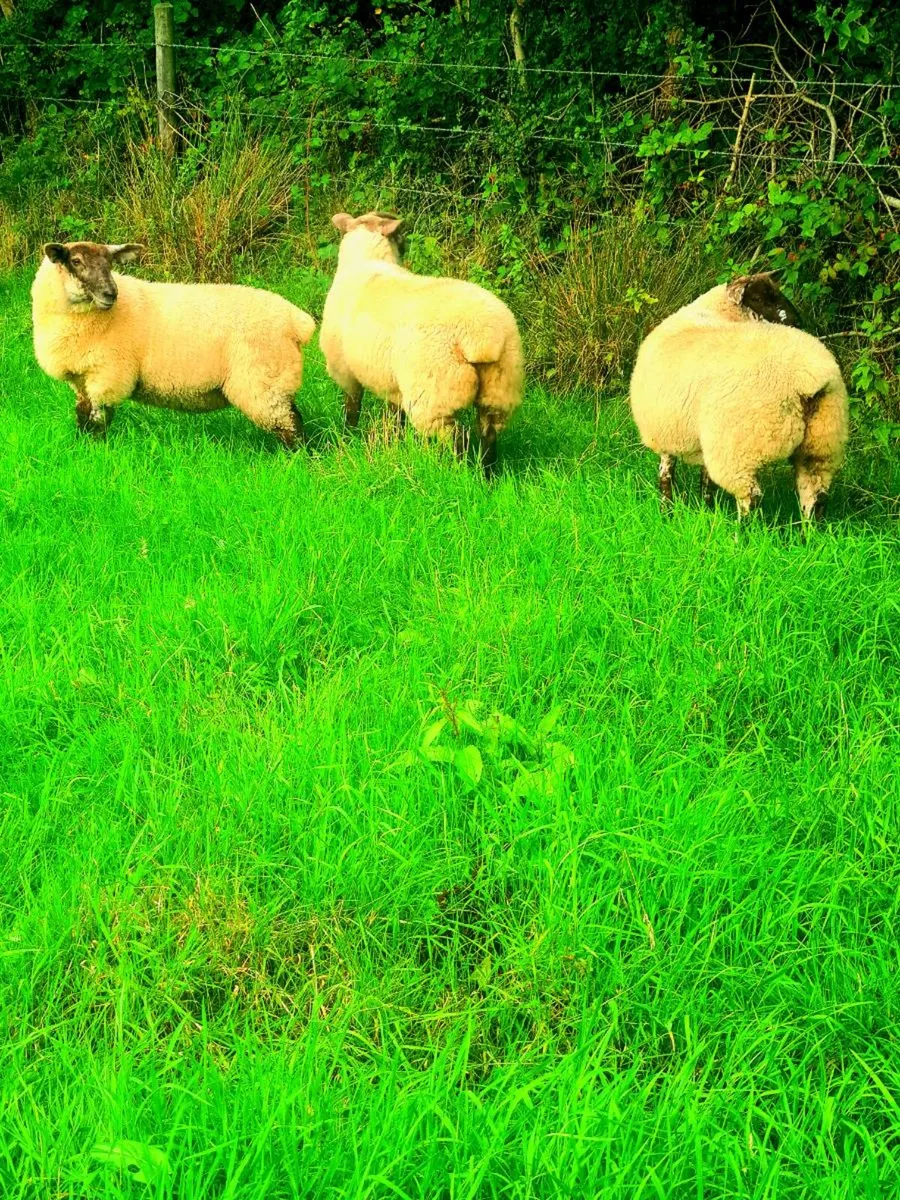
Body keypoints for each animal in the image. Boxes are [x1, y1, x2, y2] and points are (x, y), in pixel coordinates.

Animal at [31, 241, 316, 448]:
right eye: (76, 261)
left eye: (110, 264)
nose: (110, 294)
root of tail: (297, 321)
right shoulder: (82, 379)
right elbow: (82, 415)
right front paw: (82, 448)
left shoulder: (107, 376)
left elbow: (99, 420)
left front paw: (97, 449)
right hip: (274, 381)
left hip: (263, 380)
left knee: (290, 423)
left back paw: (294, 461)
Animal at [318, 211, 524, 476]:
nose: (406, 246)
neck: (366, 261)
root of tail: (482, 334)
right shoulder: (392, 384)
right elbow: (395, 418)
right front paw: (393, 444)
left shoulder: (345, 372)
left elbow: (352, 409)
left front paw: (348, 438)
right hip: (500, 386)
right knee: (488, 435)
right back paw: (486, 475)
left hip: (434, 392)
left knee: (457, 438)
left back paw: (459, 475)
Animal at [629, 272, 849, 519]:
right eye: (758, 298)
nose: (798, 321)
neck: (718, 313)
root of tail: (809, 378)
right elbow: (702, 481)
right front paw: (706, 511)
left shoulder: (667, 433)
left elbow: (666, 477)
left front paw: (667, 514)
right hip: (823, 442)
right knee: (815, 495)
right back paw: (808, 529)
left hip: (740, 449)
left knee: (750, 497)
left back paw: (741, 530)